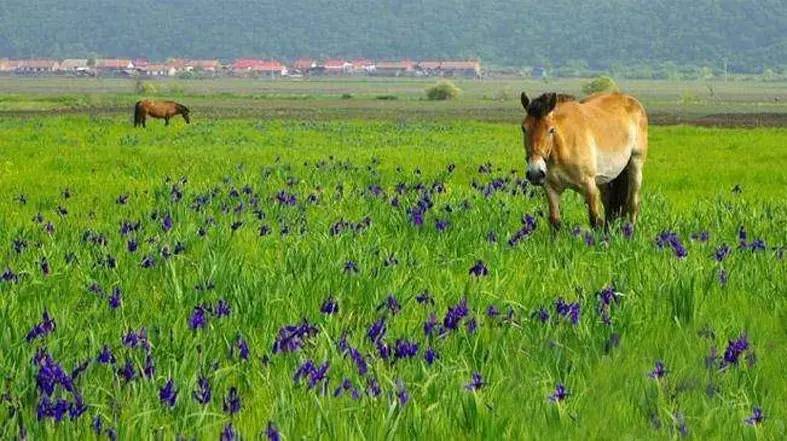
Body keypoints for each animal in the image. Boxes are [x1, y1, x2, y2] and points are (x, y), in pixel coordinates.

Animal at [524, 91, 648, 229]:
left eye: (551, 130)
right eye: (524, 128)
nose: (535, 173)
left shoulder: (590, 188)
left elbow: (595, 221)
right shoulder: (552, 190)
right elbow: (555, 222)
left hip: (635, 165)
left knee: (633, 203)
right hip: (604, 179)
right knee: (608, 203)